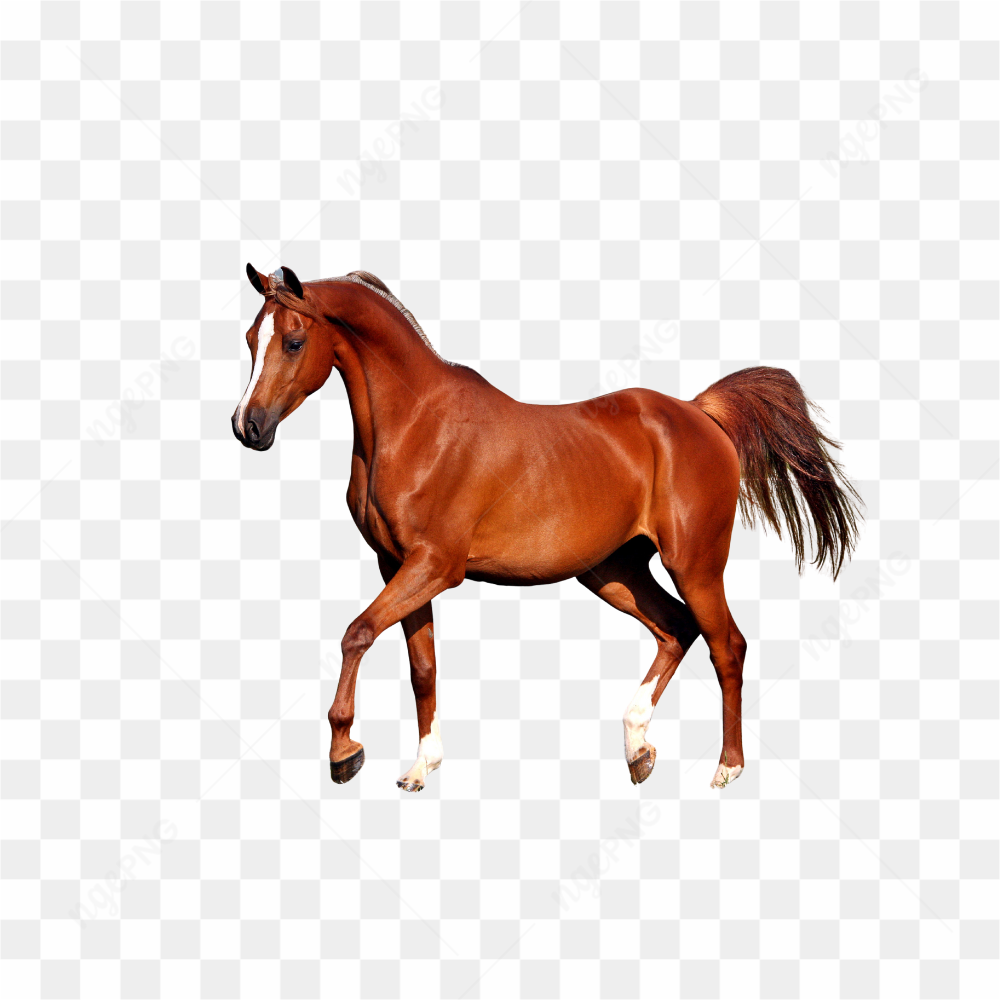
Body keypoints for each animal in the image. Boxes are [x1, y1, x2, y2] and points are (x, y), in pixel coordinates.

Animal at [232, 265, 862, 791]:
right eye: (249, 339)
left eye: (293, 341)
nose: (247, 427)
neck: (418, 424)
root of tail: (699, 413)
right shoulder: (398, 566)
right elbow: (422, 668)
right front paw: (421, 767)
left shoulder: (435, 566)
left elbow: (356, 633)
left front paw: (345, 753)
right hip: (614, 571)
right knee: (676, 629)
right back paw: (637, 747)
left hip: (695, 565)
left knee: (726, 645)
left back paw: (727, 768)